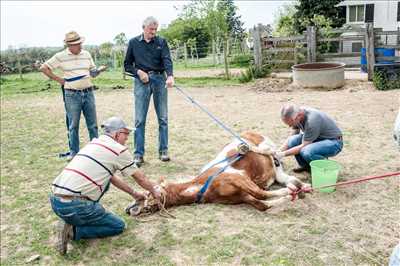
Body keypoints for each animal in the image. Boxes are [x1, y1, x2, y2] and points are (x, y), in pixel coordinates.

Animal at [126, 131, 310, 216]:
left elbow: (262, 194)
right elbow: (263, 204)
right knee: (284, 174)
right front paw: (291, 195)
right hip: (276, 171)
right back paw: (301, 186)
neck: (203, 187)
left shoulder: (241, 179)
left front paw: (290, 193)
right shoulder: (243, 196)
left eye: (146, 194)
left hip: (264, 146)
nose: (128, 210)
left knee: (273, 151)